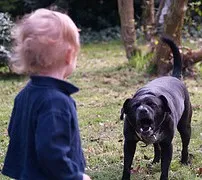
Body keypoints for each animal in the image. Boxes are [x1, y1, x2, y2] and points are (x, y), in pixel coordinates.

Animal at [120, 37, 192, 180]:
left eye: (152, 105)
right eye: (135, 106)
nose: (143, 110)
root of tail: (174, 77)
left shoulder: (167, 145)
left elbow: (165, 167)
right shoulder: (129, 143)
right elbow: (127, 164)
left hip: (185, 127)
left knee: (185, 144)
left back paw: (184, 160)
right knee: (156, 147)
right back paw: (155, 160)